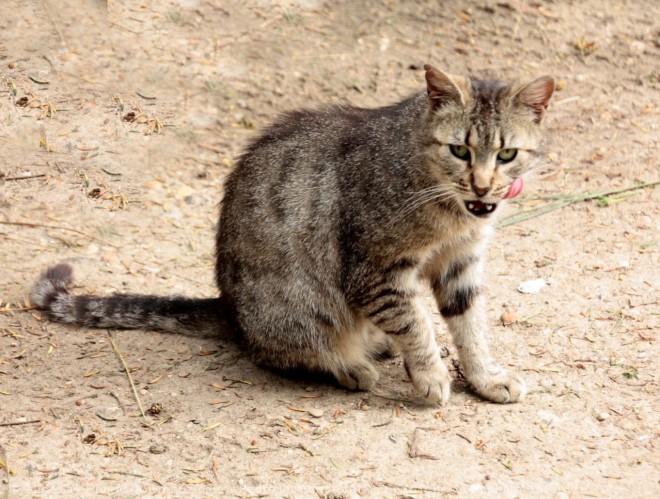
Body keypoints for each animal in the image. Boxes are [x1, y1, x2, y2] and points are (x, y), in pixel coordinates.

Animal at [32, 63, 556, 406]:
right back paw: (352, 366)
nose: (483, 185)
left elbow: (471, 328)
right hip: (299, 306)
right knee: (286, 353)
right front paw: (430, 375)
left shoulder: (460, 264)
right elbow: (417, 323)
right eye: (459, 150)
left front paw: (485, 377)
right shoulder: (376, 271)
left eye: (507, 154)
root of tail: (229, 309)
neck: (452, 209)